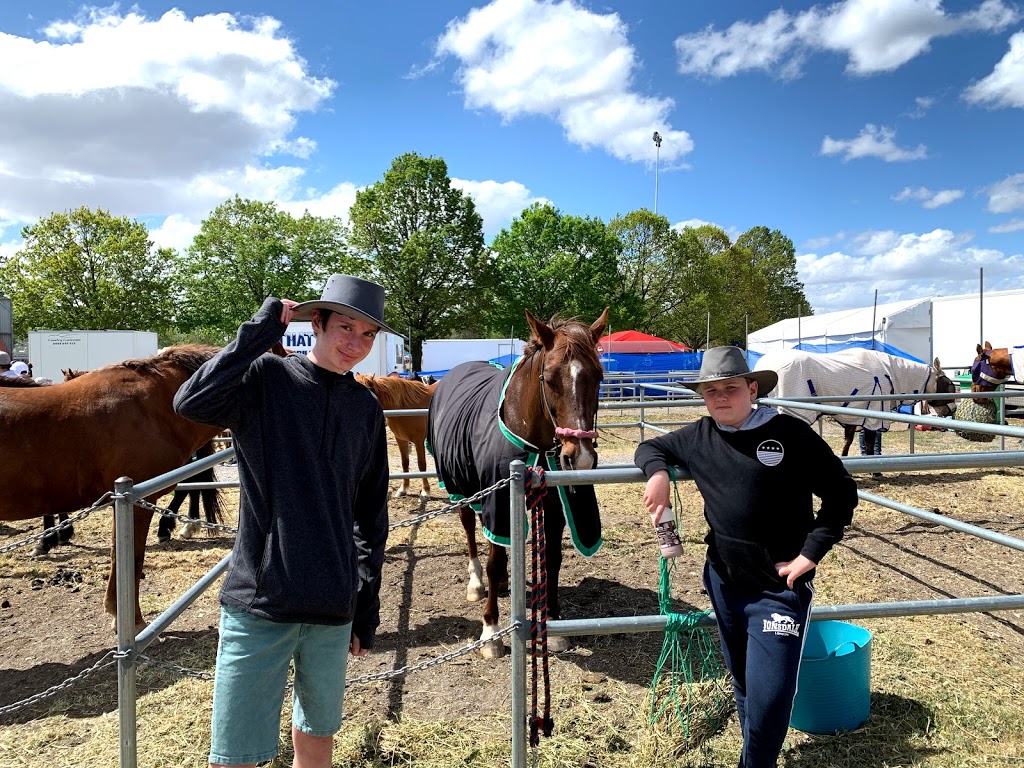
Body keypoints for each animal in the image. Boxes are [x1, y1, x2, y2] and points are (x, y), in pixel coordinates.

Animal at [425, 309, 606, 659]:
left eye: (600, 376)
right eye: (549, 377)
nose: (579, 458)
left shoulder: (554, 503)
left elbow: (553, 559)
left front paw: (553, 624)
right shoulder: (496, 497)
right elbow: (494, 561)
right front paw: (491, 632)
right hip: (460, 486)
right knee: (470, 527)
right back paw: (476, 583)